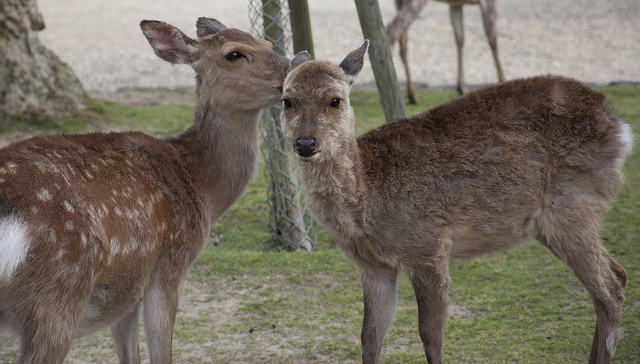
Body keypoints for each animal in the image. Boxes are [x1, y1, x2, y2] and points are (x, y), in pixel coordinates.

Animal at [0, 17, 288, 364]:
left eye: (268, 43)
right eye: (234, 54)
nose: (294, 65)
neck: (200, 188)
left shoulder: (126, 291)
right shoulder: (167, 268)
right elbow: (161, 353)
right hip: (58, 293)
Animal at [280, 41, 632, 362]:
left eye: (335, 100)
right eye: (286, 101)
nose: (306, 143)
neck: (366, 202)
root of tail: (620, 127)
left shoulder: (429, 247)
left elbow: (430, 334)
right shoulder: (373, 266)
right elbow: (369, 337)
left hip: (572, 202)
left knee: (609, 291)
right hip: (558, 220)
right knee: (618, 275)